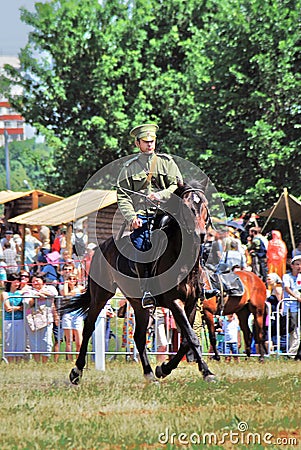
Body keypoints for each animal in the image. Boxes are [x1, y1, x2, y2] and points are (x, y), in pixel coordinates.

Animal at [61, 181, 214, 384]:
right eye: (185, 206)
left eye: (204, 205)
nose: (200, 234)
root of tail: (101, 247)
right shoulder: (175, 302)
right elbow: (192, 337)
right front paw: (207, 372)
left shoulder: (191, 304)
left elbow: (186, 341)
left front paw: (164, 368)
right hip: (100, 296)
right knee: (88, 329)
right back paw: (76, 372)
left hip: (140, 306)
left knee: (140, 337)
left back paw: (149, 374)